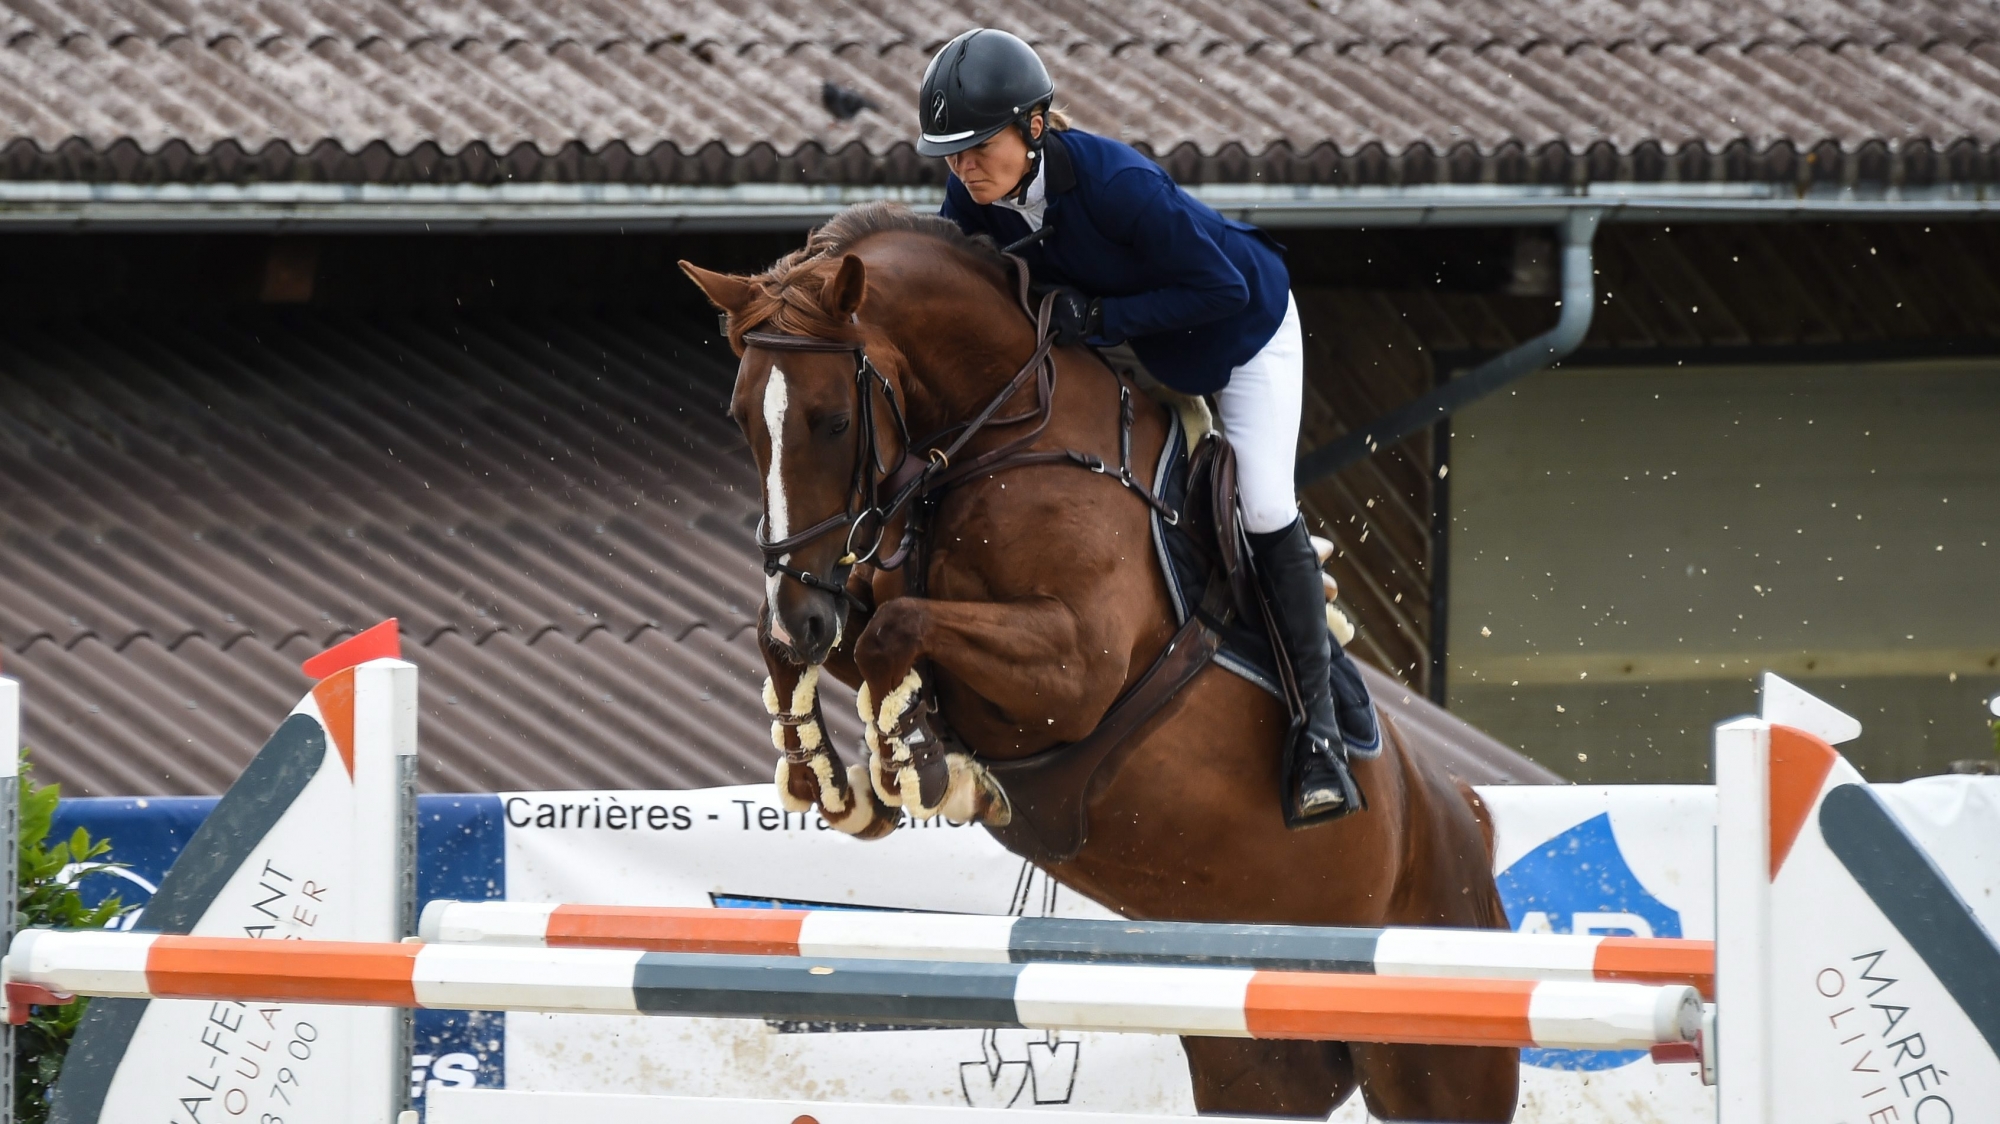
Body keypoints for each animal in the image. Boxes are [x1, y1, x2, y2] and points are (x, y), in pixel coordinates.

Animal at [688, 203, 1560, 1120]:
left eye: (833, 420)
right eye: (741, 418)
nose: (804, 613)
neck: (1002, 443)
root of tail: (1466, 818)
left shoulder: (1076, 666)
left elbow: (897, 627)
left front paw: (919, 769)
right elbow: (839, 635)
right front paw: (831, 776)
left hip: (1437, 1061)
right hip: (1257, 1064)